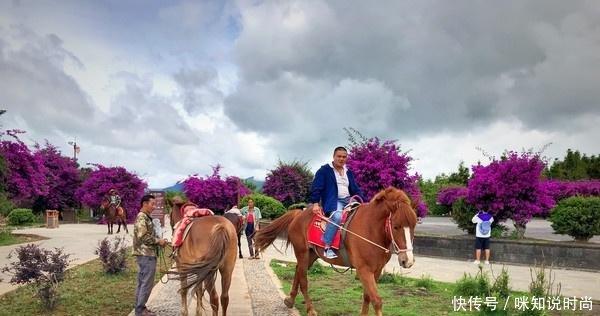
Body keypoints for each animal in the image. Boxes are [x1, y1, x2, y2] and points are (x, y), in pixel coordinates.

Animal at [254, 188, 418, 316]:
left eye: (413, 226)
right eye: (396, 226)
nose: (408, 261)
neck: (371, 230)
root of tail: (299, 214)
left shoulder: (376, 271)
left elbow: (367, 296)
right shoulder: (364, 270)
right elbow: (376, 300)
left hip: (311, 255)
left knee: (298, 271)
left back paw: (290, 300)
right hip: (302, 252)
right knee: (304, 280)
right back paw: (310, 309)